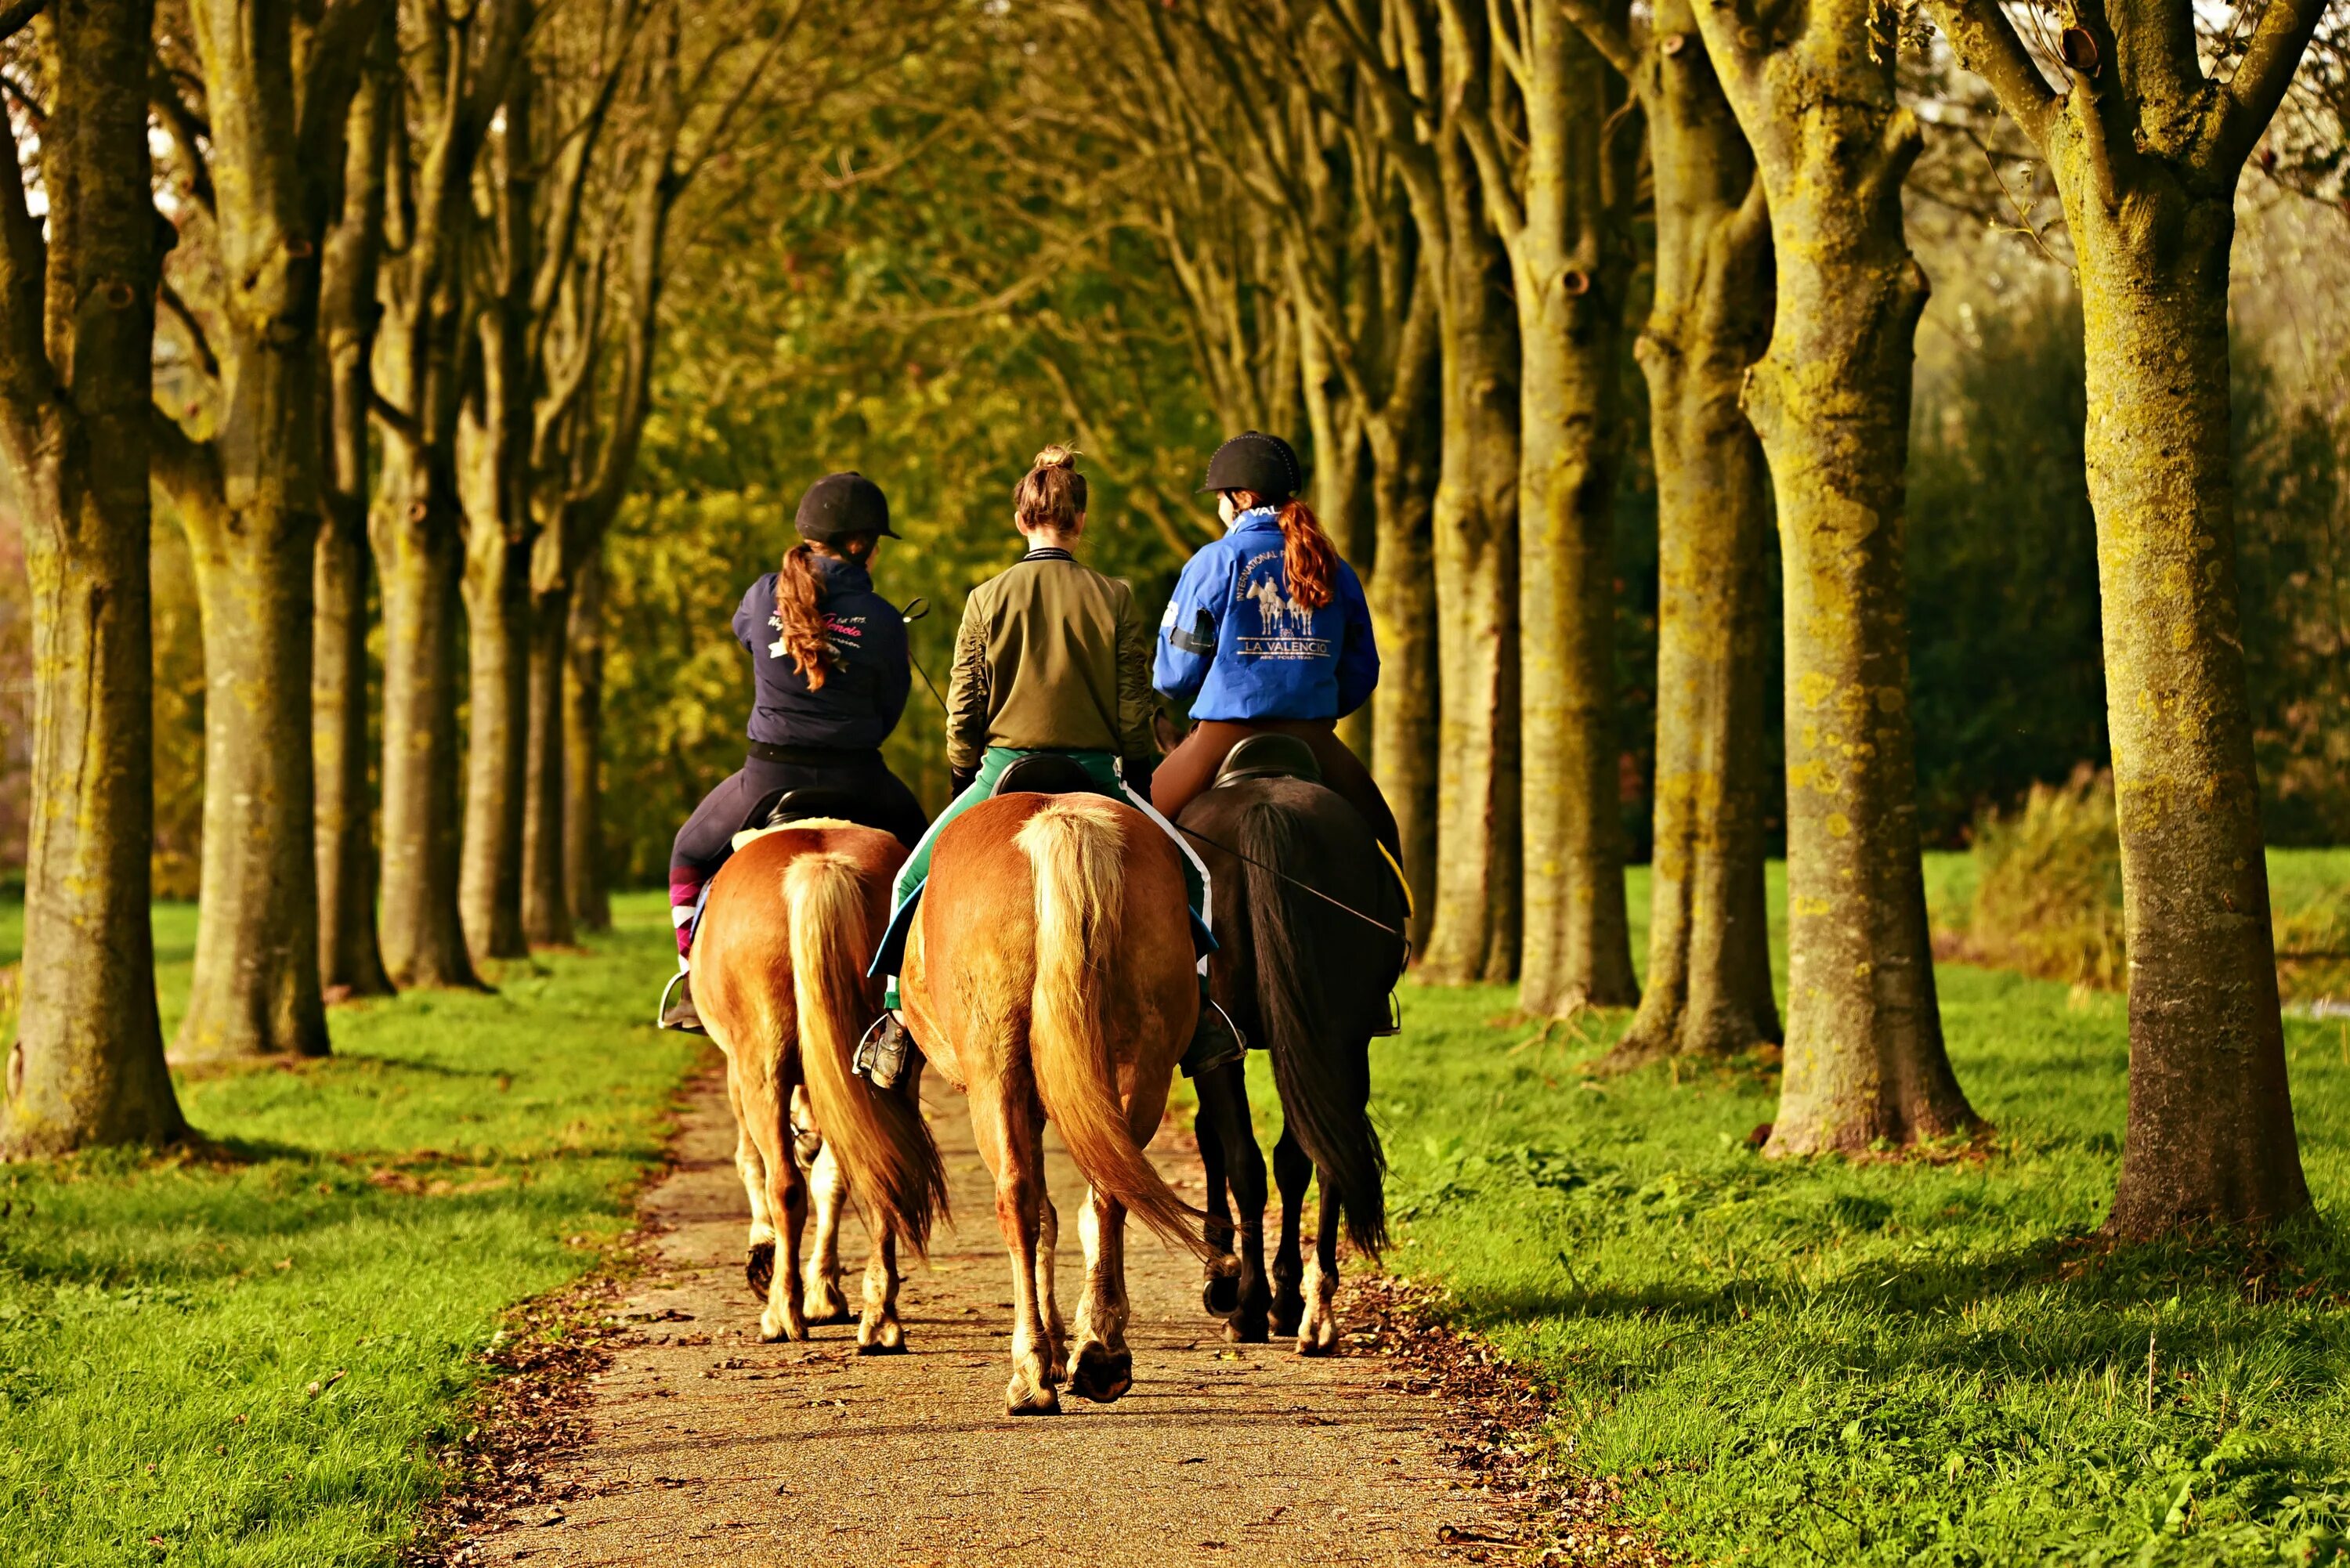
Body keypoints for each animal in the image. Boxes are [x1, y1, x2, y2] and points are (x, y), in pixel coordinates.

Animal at [686, 822, 945, 1353]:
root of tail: (819, 866)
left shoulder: (737, 1073)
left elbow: (751, 1163)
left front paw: (765, 1258)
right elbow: (831, 1177)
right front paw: (825, 1292)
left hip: (761, 1070)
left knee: (783, 1183)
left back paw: (781, 1313)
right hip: (887, 1076)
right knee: (881, 1172)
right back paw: (880, 1319)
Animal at [898, 789, 1231, 1419]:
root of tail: (1059, 817)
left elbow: (1042, 1213)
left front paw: (1050, 1347)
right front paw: (1070, 1345)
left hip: (994, 1073)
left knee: (1016, 1197)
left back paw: (1031, 1368)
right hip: (1139, 1064)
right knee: (1108, 1192)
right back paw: (1100, 1351)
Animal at [1184, 747, 1401, 1353]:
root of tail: (1266, 808)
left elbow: (1215, 1143)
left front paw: (1223, 1278)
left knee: (1246, 1164)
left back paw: (1250, 1308)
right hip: (1341, 1038)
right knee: (1323, 1156)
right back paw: (1313, 1311)